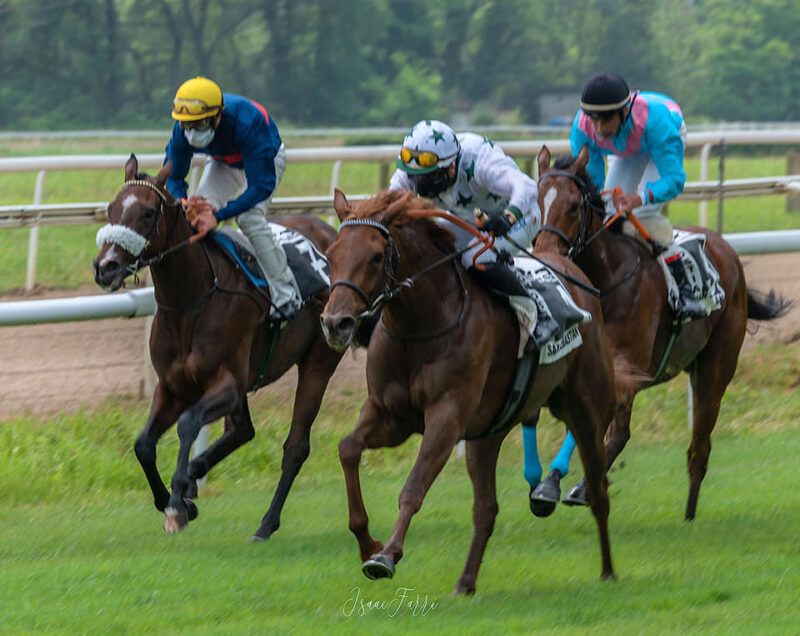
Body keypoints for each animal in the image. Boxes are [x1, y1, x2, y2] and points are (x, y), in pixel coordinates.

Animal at [93, 154, 348, 539]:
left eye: (148, 213)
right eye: (111, 209)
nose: (105, 267)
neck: (191, 300)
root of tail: (332, 234)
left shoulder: (226, 382)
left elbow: (188, 423)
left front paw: (178, 501)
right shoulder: (173, 387)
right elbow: (143, 445)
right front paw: (173, 498)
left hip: (319, 359)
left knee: (295, 447)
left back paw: (265, 524)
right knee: (242, 430)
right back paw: (197, 477)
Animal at [321, 188, 623, 594]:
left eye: (374, 256)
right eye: (331, 254)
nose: (336, 323)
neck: (420, 326)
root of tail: (573, 273)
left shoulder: (446, 418)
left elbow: (413, 488)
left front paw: (386, 557)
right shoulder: (389, 414)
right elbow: (348, 449)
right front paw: (368, 541)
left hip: (586, 409)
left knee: (598, 489)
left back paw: (607, 569)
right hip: (487, 434)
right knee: (486, 509)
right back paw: (466, 582)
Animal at [534, 145, 791, 520]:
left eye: (572, 205)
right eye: (537, 201)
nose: (545, 254)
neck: (607, 280)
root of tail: (726, 249)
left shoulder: (627, 367)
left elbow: (610, 430)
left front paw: (576, 487)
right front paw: (550, 484)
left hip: (715, 369)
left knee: (699, 445)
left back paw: (689, 516)